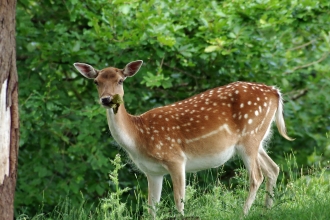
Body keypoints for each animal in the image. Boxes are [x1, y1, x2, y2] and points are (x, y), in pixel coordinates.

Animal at [73, 60, 292, 217]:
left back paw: (244, 214)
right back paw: (266, 211)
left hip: (250, 136)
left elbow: (179, 202)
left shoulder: (176, 158)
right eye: (96, 82)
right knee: (273, 168)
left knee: (256, 176)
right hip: (256, 139)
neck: (138, 138)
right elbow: (152, 207)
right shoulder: (152, 172)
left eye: (120, 80)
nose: (106, 99)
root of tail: (275, 92)